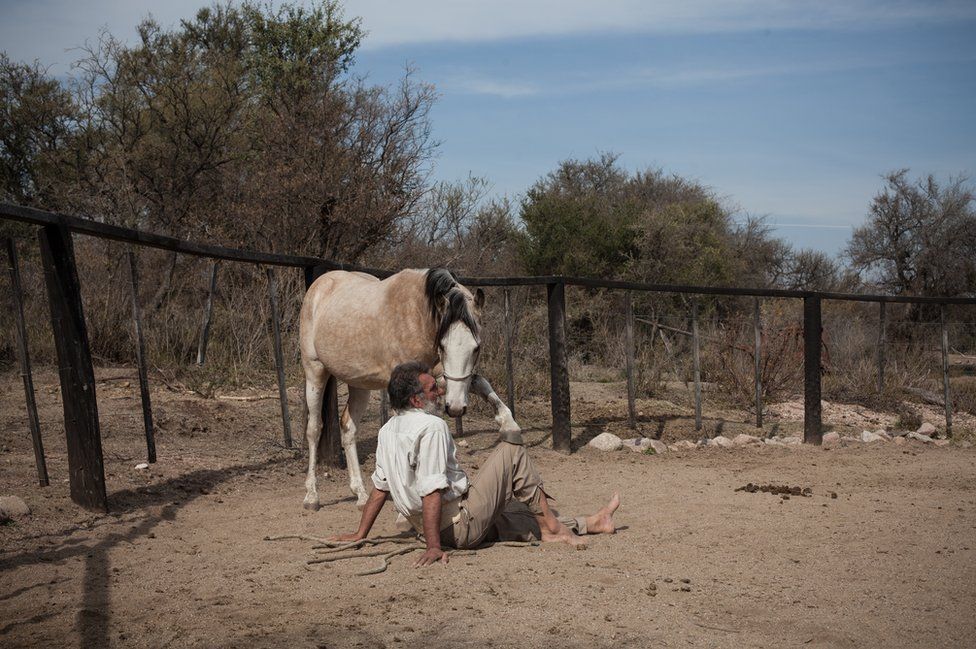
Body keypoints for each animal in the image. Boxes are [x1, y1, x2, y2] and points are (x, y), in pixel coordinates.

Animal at [300, 266, 524, 508]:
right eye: (442, 345)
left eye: (476, 347)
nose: (455, 408)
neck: (419, 316)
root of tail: (319, 286)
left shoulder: (440, 376)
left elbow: (480, 383)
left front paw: (510, 426)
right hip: (315, 372)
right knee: (314, 429)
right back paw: (311, 496)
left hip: (360, 383)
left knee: (349, 428)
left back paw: (360, 494)